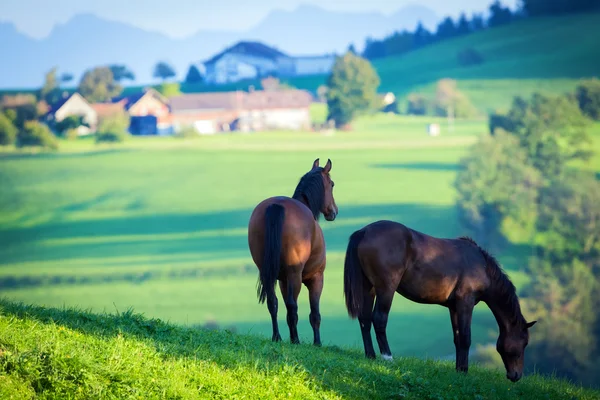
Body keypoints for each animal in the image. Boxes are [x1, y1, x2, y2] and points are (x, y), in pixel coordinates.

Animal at [245, 158, 338, 346]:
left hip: (269, 273)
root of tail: (276, 206)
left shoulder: (282, 281)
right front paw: (317, 343)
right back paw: (295, 340)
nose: (334, 212)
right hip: (295, 275)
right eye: (331, 184)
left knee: (273, 303)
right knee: (292, 305)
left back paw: (277, 337)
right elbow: (314, 314)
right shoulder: (316, 278)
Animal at [344, 220, 536, 382]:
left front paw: (459, 370)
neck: (480, 265)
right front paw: (464, 371)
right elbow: (466, 337)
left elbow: (457, 338)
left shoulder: (454, 307)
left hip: (368, 288)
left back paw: (370, 356)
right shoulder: (466, 303)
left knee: (365, 319)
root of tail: (364, 231)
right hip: (385, 289)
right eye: (524, 342)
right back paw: (387, 357)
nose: (515, 376)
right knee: (379, 319)